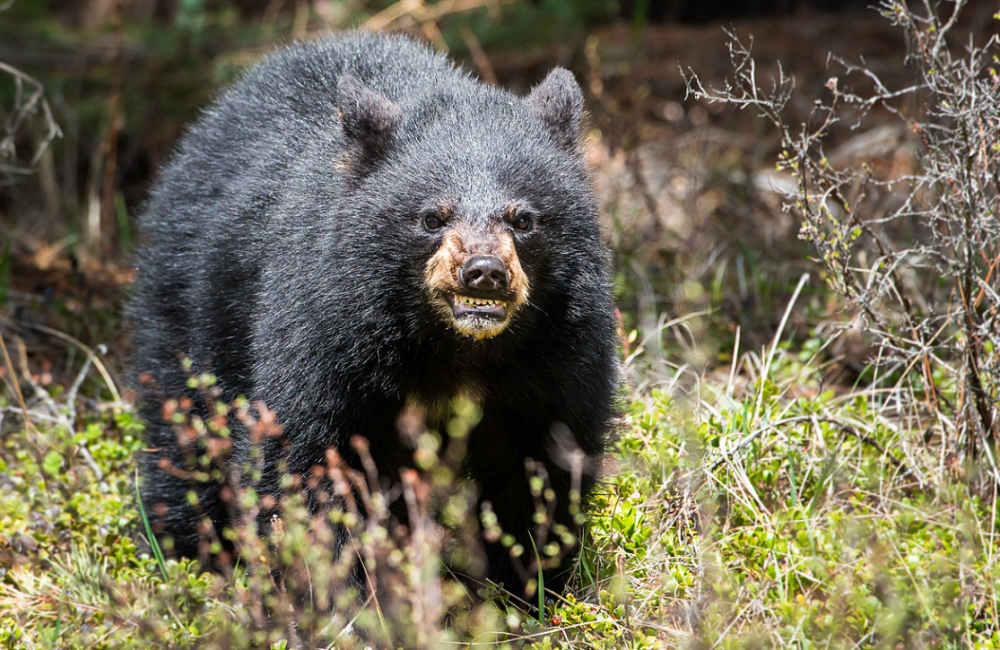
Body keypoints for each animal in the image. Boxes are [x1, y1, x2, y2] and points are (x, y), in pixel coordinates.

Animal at [133, 30, 616, 596]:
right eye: (432, 217)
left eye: (523, 219)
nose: (484, 272)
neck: (455, 349)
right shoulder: (325, 330)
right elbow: (314, 460)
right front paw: (339, 591)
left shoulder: (559, 349)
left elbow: (542, 462)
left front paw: (528, 586)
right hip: (192, 308)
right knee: (182, 434)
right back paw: (186, 556)